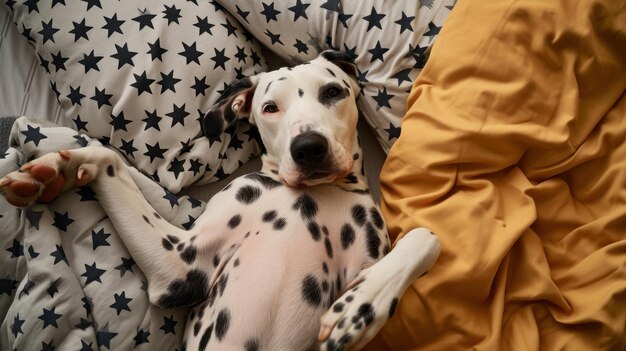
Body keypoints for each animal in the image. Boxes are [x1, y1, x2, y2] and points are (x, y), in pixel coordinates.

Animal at [0, 51, 438, 350]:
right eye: (270, 107)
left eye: (332, 92)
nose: (308, 148)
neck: (317, 194)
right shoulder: (180, 265)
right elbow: (109, 159)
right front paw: (54, 170)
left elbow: (426, 235)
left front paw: (360, 306)